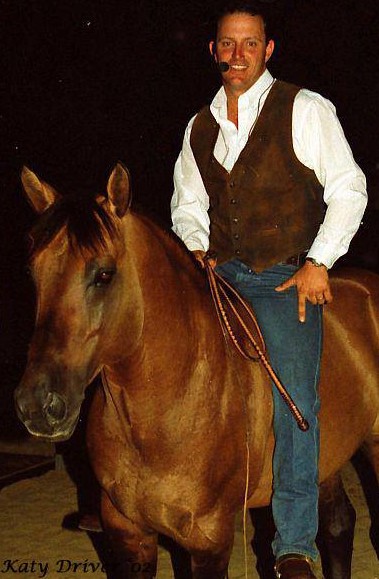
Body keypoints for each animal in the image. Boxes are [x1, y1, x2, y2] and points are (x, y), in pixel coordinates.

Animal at [14, 164, 379, 579]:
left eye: (104, 275)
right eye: (33, 273)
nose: (37, 405)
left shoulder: (209, 540)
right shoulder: (128, 535)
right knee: (337, 525)